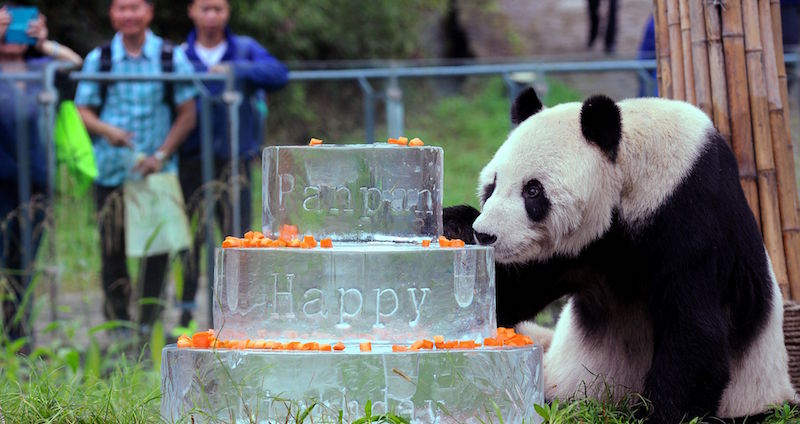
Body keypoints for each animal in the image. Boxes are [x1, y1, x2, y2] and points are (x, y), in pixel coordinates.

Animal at [444, 88, 800, 422]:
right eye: (492, 185)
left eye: (533, 191)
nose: (486, 234)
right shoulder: (578, 250)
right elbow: (511, 297)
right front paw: (455, 227)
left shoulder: (692, 216)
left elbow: (695, 330)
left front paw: (656, 415)